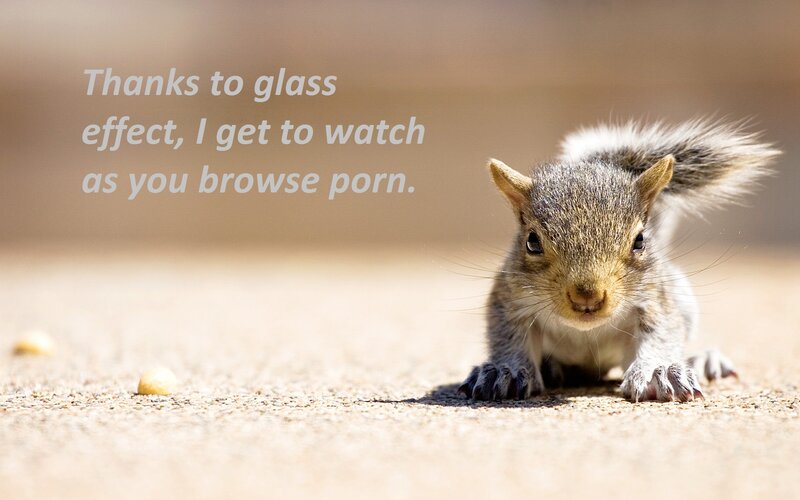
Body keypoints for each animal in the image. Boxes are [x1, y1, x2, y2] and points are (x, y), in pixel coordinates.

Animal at [458, 119, 780, 403]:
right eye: (532, 242)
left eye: (640, 240)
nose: (586, 296)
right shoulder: (510, 298)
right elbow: (509, 335)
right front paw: (506, 372)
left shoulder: (654, 299)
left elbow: (661, 332)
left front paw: (658, 373)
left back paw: (704, 360)